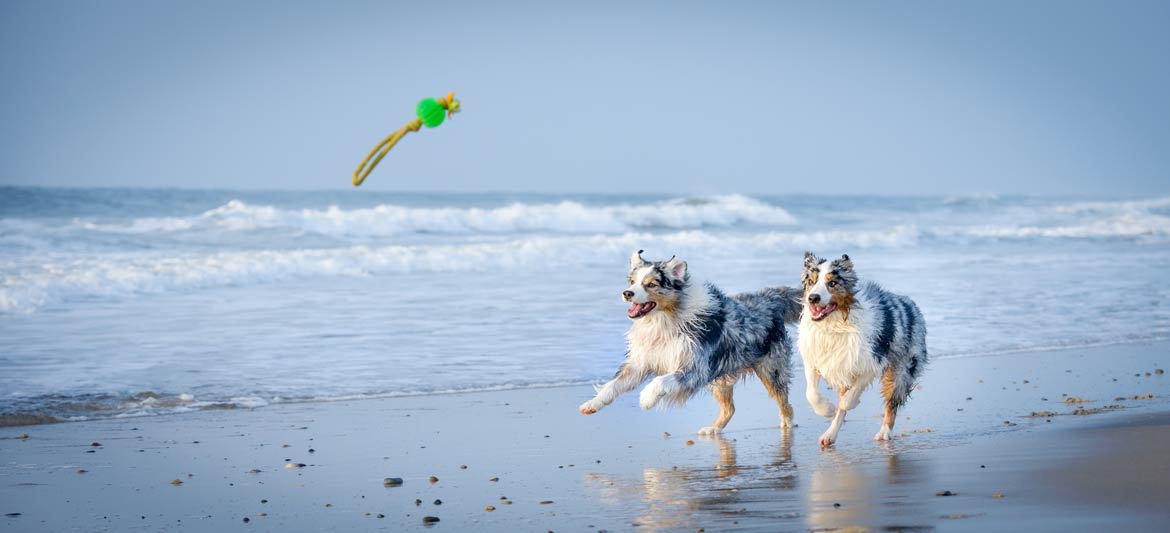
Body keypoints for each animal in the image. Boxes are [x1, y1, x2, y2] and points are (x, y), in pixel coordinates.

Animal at [800, 252, 926, 444]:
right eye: (811, 282)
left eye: (832, 283)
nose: (813, 298)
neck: (833, 323)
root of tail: (910, 304)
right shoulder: (815, 358)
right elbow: (811, 393)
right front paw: (827, 409)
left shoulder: (871, 360)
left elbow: (849, 397)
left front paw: (848, 403)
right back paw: (829, 435)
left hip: (902, 367)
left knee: (892, 402)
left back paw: (884, 432)